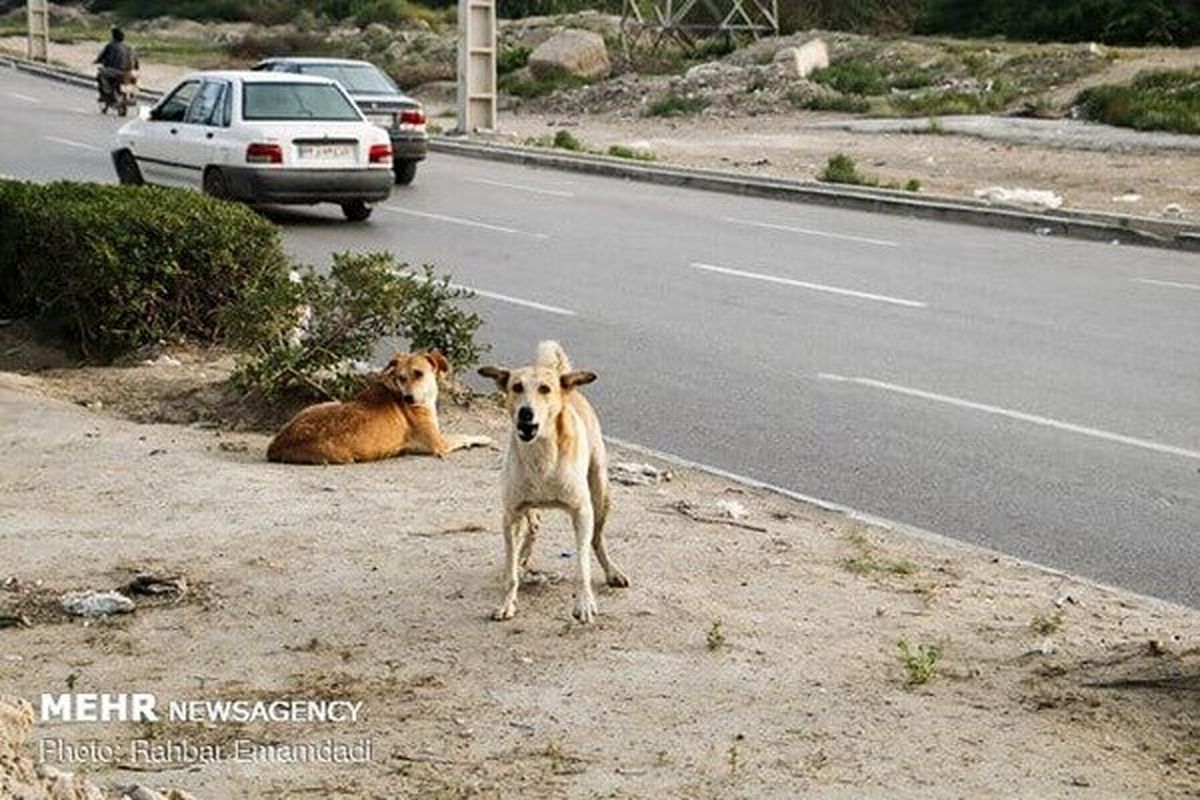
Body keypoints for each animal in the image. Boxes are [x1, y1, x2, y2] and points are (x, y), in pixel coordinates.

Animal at [267, 347, 492, 462]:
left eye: (419, 373)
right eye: (401, 377)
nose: (408, 399)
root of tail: (276, 447)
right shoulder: (439, 443)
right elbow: (463, 435)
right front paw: (484, 439)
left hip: (322, 404)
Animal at [477, 340, 628, 623]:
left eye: (545, 389)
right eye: (516, 387)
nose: (525, 413)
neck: (542, 455)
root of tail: (567, 383)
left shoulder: (582, 511)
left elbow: (582, 565)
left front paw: (584, 603)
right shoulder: (510, 514)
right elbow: (510, 570)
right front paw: (507, 602)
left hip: (600, 492)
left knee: (596, 539)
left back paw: (612, 571)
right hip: (526, 507)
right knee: (534, 524)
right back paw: (523, 555)